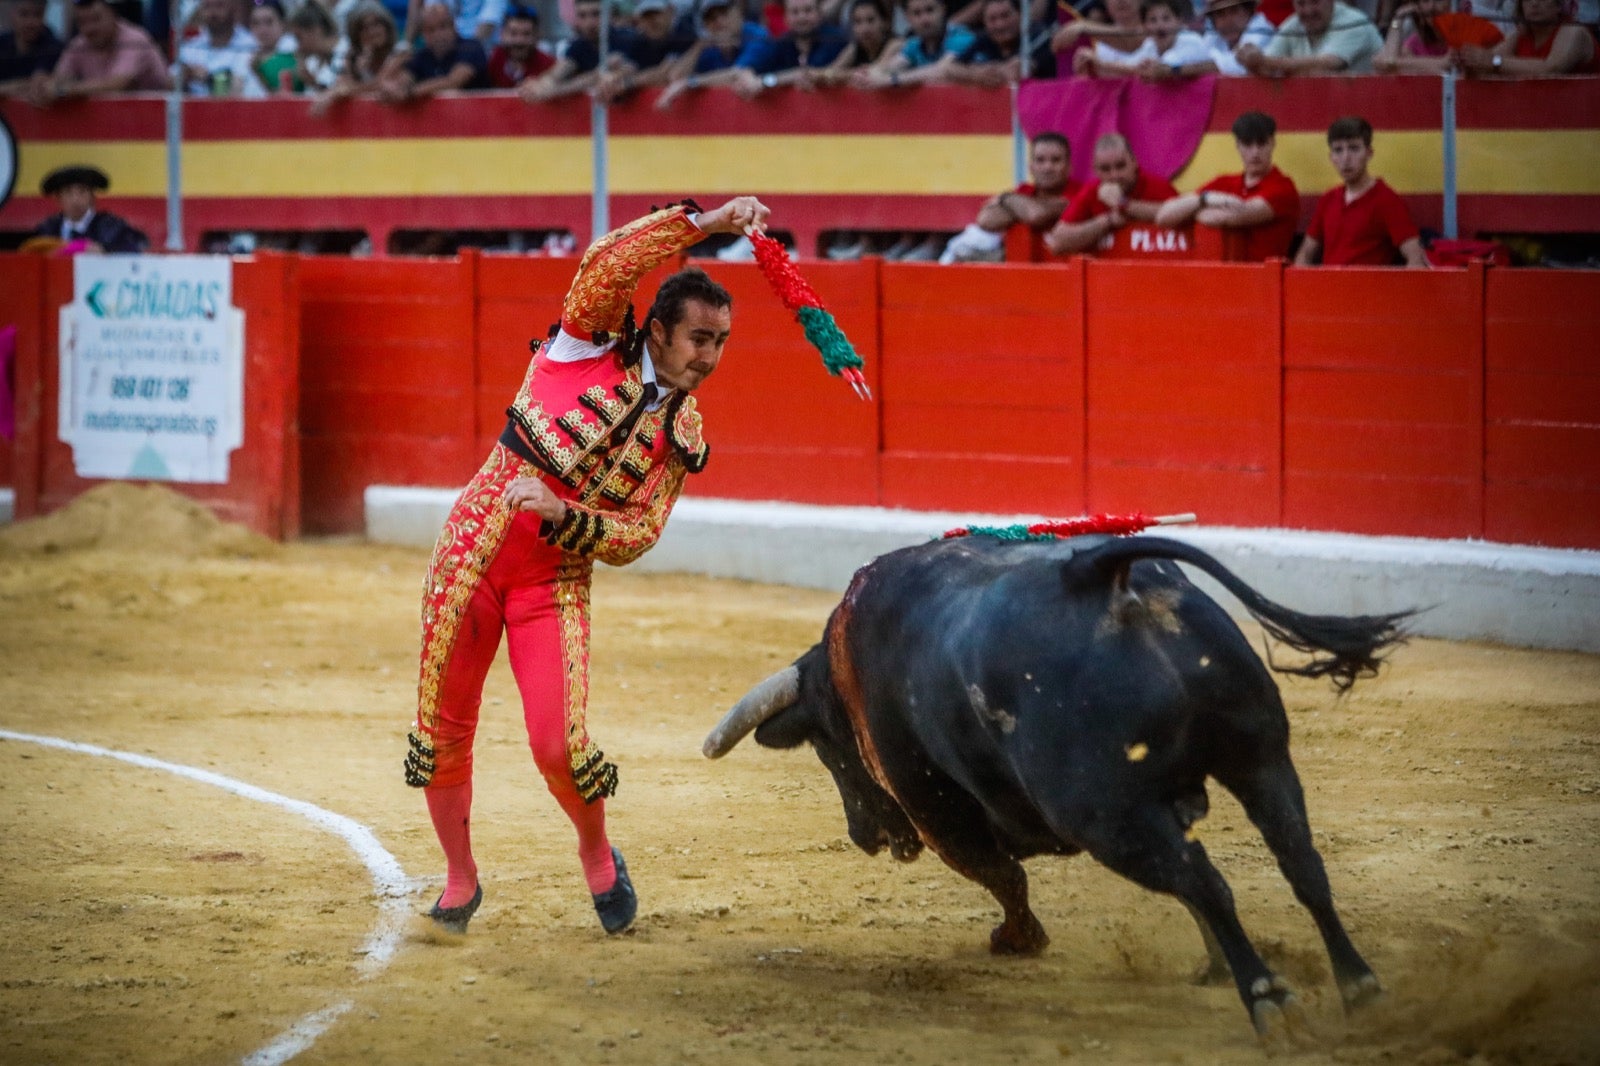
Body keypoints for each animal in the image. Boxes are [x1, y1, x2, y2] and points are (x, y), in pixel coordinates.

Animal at [704, 534, 1414, 1030]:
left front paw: (1019, 940)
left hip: (1106, 816)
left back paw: (1269, 1000)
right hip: (1261, 759)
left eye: (828, 746)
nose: (864, 837)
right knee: (1300, 863)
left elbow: (1002, 875)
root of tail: (1100, 577)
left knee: (1206, 882)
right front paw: (1212, 963)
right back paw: (1360, 990)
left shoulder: (940, 812)